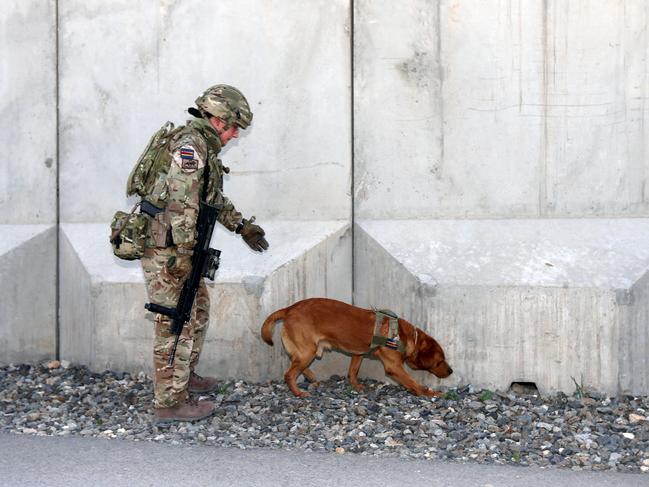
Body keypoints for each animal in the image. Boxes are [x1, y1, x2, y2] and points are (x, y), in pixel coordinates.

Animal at [260, 300, 454, 398]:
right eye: (440, 360)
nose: (451, 371)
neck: (404, 336)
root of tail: (289, 309)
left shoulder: (358, 353)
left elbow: (353, 371)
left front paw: (356, 386)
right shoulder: (394, 367)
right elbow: (413, 382)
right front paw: (431, 393)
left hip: (307, 351)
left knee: (295, 363)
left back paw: (312, 377)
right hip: (308, 350)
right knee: (289, 373)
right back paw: (299, 393)